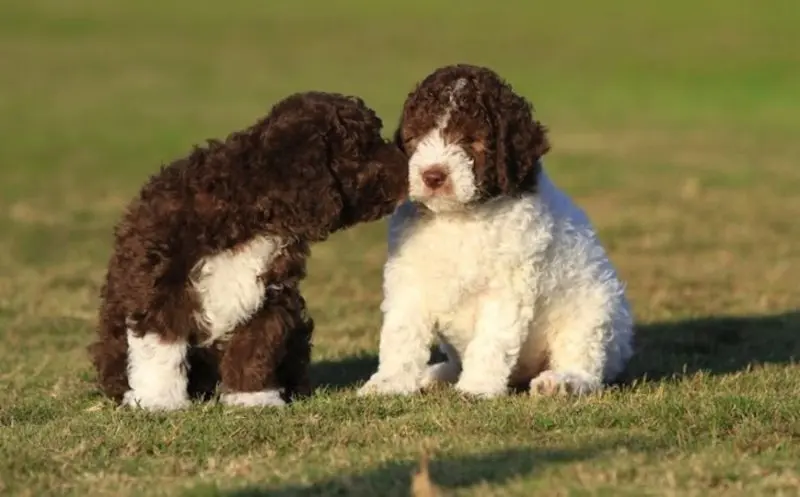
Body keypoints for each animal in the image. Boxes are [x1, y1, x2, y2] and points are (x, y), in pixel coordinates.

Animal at [90, 91, 410, 408]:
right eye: (362, 149)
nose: (408, 167)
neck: (251, 207)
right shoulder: (160, 281)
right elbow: (161, 345)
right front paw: (159, 401)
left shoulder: (270, 292)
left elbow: (255, 343)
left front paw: (253, 397)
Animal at [360, 67, 636, 400]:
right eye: (415, 137)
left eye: (471, 139)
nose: (432, 175)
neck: (458, 217)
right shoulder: (409, 280)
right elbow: (401, 334)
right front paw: (388, 383)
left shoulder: (506, 289)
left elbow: (491, 341)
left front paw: (476, 388)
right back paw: (435, 375)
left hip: (595, 313)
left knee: (587, 364)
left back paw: (562, 382)